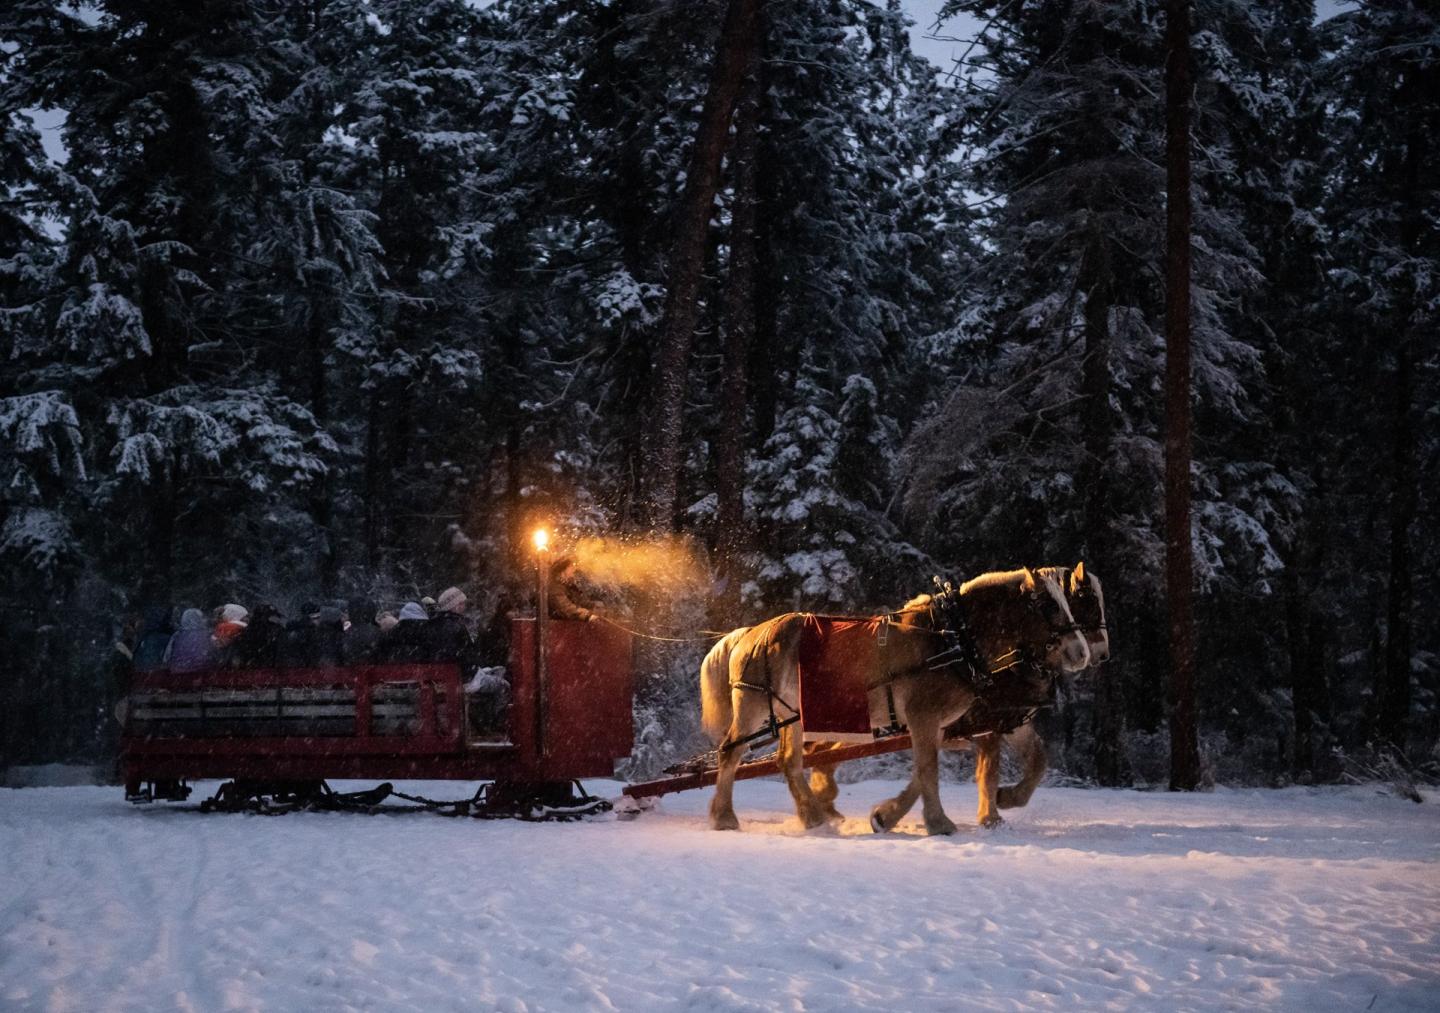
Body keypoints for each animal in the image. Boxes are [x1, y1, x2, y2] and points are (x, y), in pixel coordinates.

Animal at [699, 567, 1088, 835]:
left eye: (1070, 602)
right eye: (1047, 604)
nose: (1081, 652)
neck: (951, 638)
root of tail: (749, 633)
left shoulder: (943, 724)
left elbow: (922, 771)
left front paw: (886, 816)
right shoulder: (924, 716)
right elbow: (929, 769)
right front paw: (939, 822)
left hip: (792, 714)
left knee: (789, 761)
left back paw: (813, 816)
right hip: (752, 706)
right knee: (731, 752)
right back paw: (725, 816)